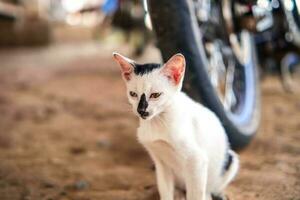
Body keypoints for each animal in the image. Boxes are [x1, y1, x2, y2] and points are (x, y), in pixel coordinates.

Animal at [112, 52, 239, 199]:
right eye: (133, 94)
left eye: (155, 95)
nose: (141, 110)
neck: (158, 121)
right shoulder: (161, 164)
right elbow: (165, 191)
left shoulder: (197, 160)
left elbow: (195, 195)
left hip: (230, 160)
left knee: (207, 190)